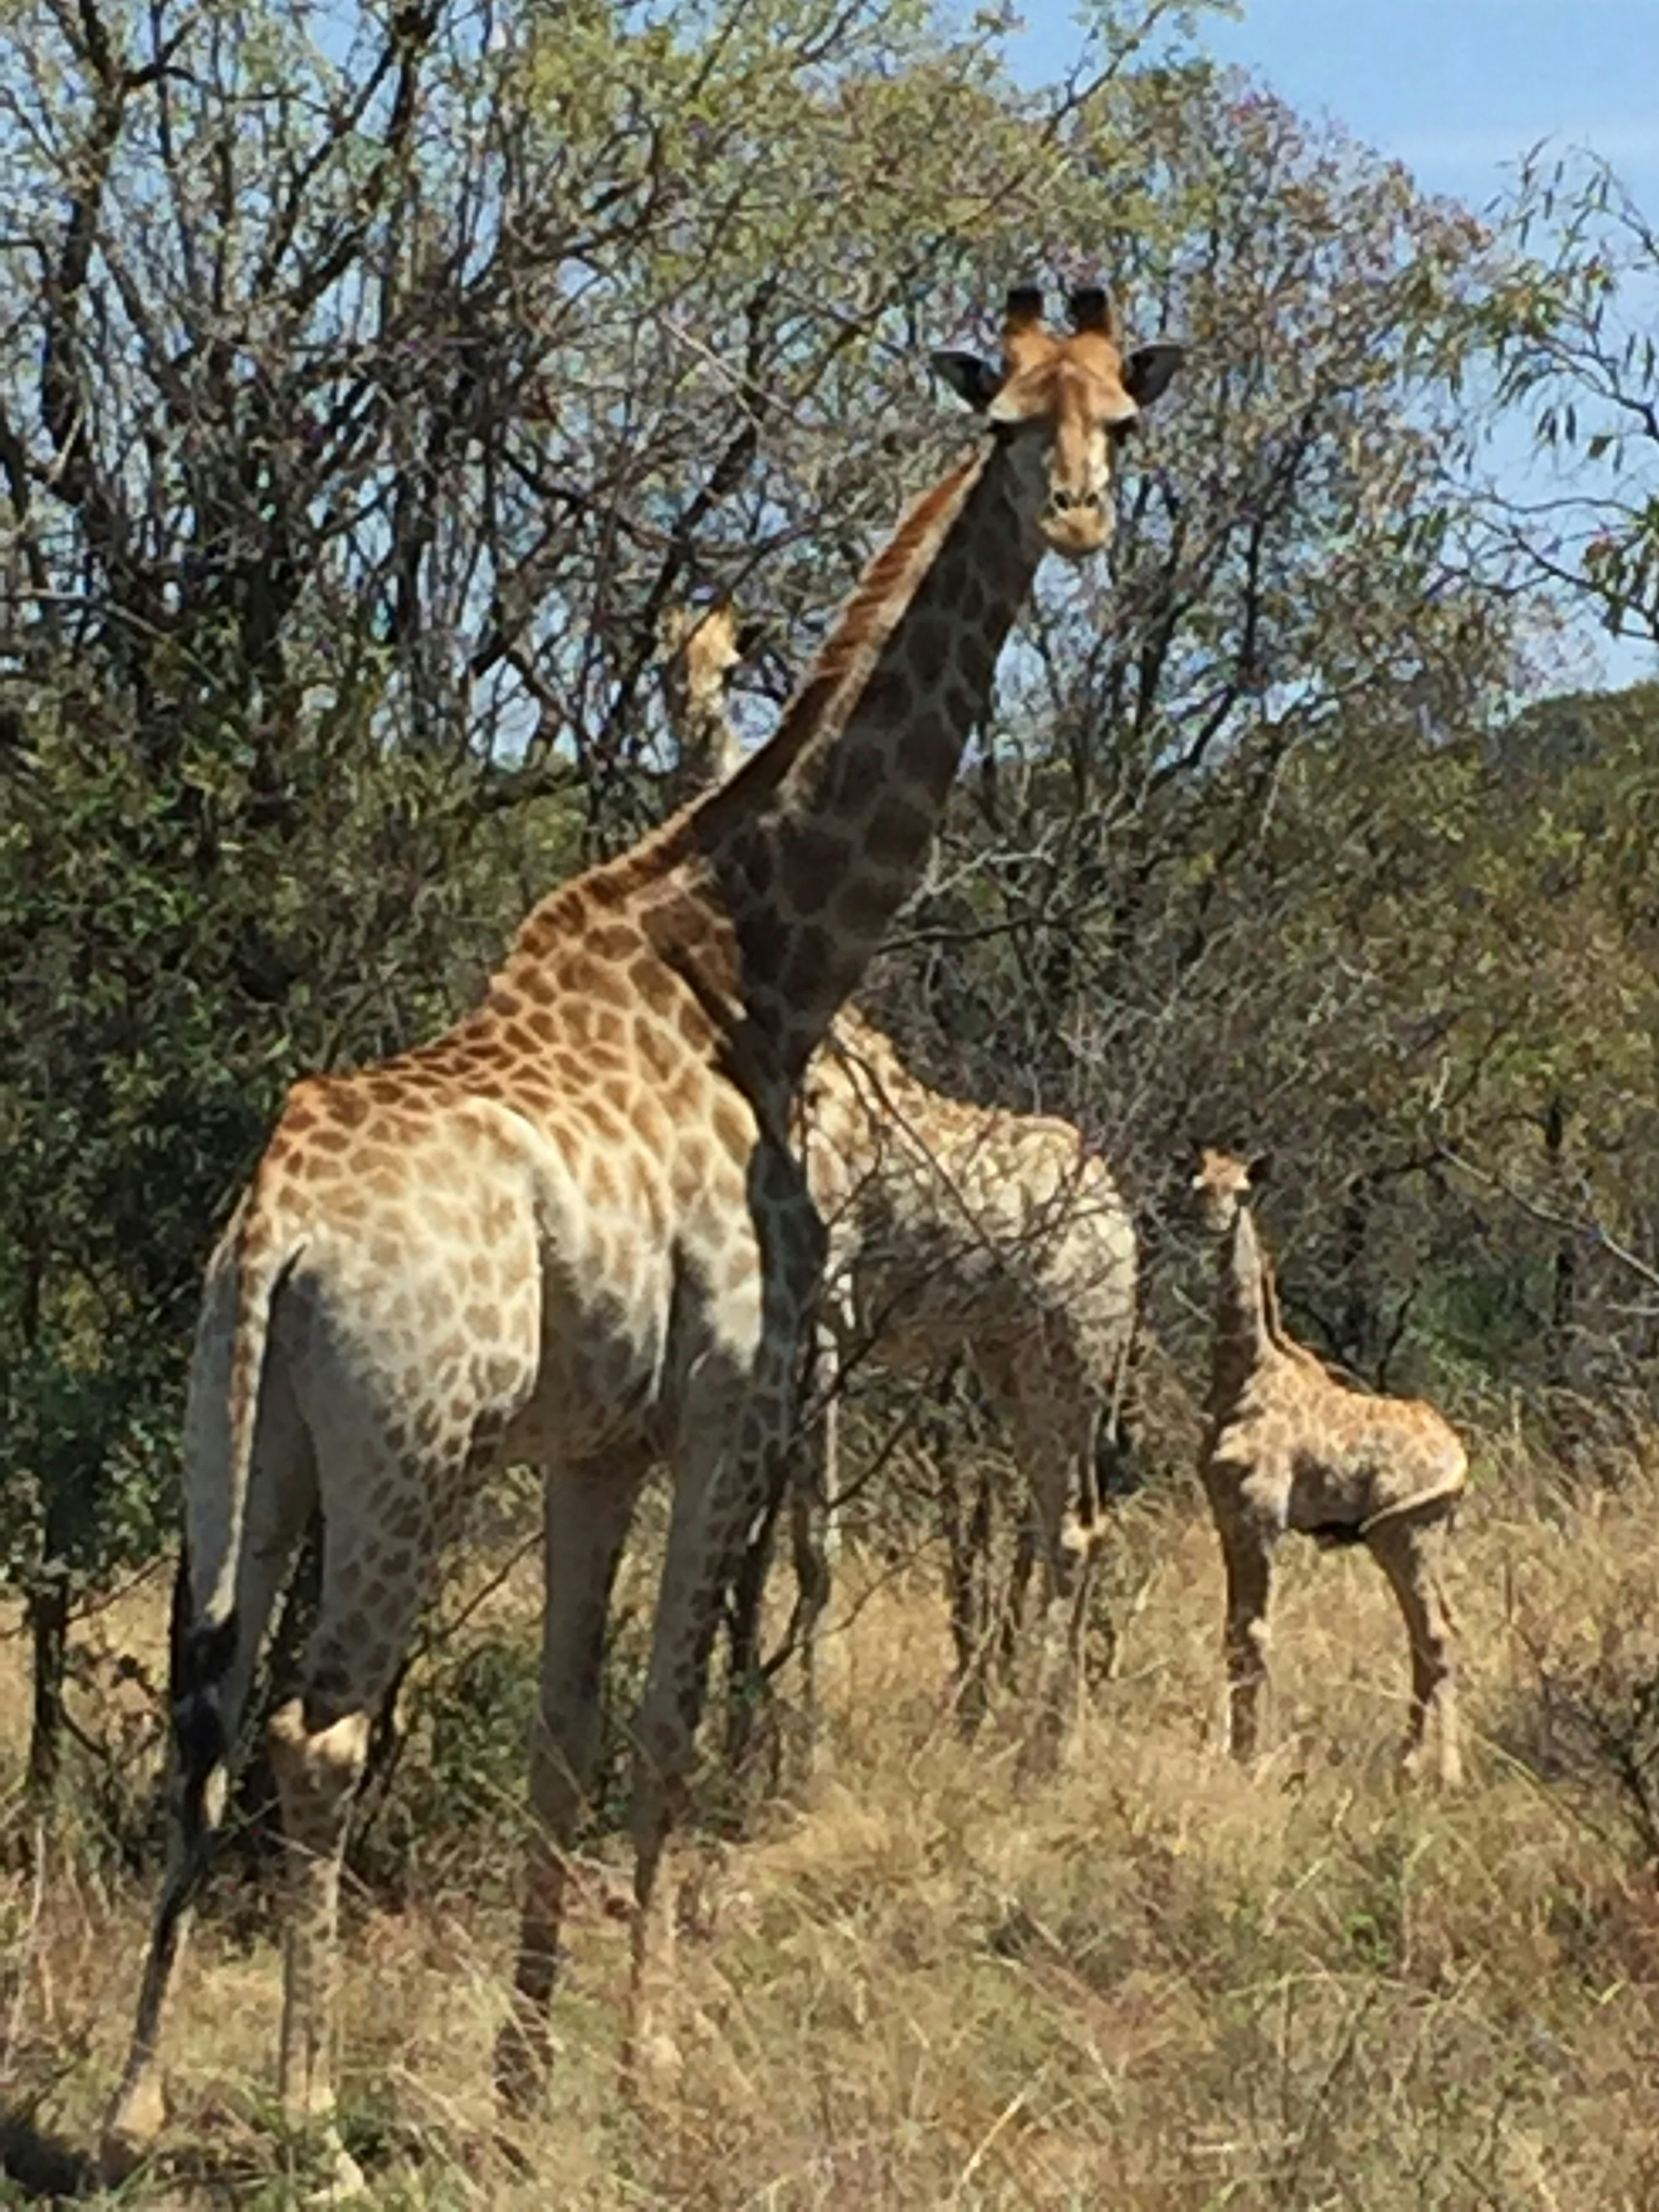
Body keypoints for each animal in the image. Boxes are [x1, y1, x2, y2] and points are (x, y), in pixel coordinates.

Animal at [660, 605, 1140, 1752]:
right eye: (665, 661)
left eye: (732, 665)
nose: (693, 717)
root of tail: (1128, 1224)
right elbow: (754, 1533)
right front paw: (742, 1725)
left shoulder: (831, 1299)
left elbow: (815, 1541)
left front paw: (807, 1744)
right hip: (1014, 1355)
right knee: (1061, 1518)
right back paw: (1034, 1732)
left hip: (1080, 1347)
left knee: (1077, 1525)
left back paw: (1046, 1745)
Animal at [1192, 1147, 1465, 1787]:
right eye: (1197, 1185)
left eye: (1241, 1191)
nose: (1209, 1223)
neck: (1243, 1374)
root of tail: (1459, 1459)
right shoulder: (1228, 1520)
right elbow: (1232, 1633)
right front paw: (1233, 1751)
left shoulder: (1263, 1520)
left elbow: (1254, 1634)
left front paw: (1248, 1756)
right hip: (1424, 1538)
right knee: (1434, 1635)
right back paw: (1417, 1765)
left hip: (1405, 1536)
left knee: (1436, 1637)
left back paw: (1438, 1773)